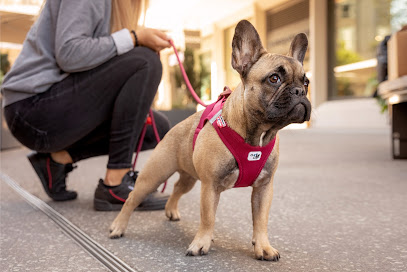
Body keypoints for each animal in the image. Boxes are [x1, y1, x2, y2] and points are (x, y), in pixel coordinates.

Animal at [109, 20, 312, 260]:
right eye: (274, 78)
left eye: (306, 81)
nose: (299, 91)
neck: (257, 135)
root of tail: (174, 128)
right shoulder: (210, 185)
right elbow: (208, 217)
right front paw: (201, 243)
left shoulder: (264, 187)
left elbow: (261, 220)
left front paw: (263, 247)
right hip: (154, 175)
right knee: (132, 199)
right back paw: (118, 227)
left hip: (188, 177)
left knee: (177, 188)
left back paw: (171, 210)